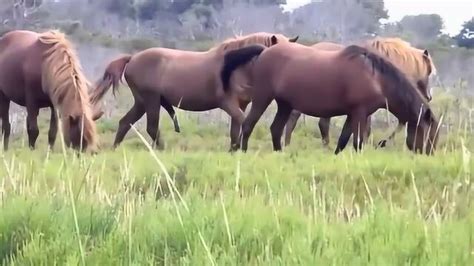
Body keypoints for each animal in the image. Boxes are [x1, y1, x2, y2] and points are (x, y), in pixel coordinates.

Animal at [90, 31, 298, 150]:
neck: (239, 64)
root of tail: (132, 58)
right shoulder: (228, 104)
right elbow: (241, 121)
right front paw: (238, 147)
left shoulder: (241, 104)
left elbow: (235, 128)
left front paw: (233, 149)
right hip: (151, 100)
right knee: (151, 127)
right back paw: (162, 150)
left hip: (142, 102)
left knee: (125, 122)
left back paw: (115, 148)